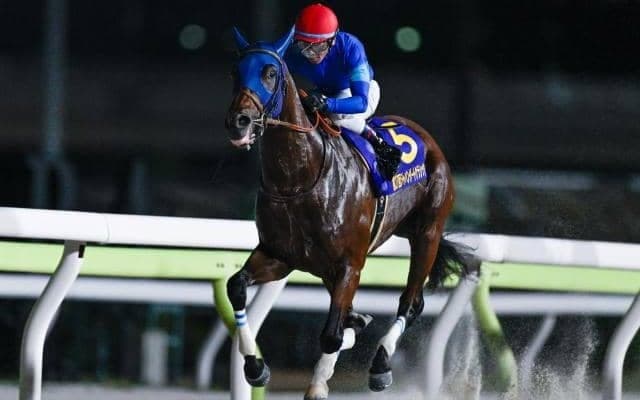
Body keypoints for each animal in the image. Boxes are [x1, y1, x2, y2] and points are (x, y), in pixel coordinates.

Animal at [224, 27, 477, 400]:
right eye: (234, 72)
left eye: (270, 73)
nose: (239, 121)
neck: (298, 179)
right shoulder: (280, 255)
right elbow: (236, 287)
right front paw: (255, 367)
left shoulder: (349, 263)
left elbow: (331, 335)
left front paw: (318, 382)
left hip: (427, 232)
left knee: (411, 301)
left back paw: (381, 363)